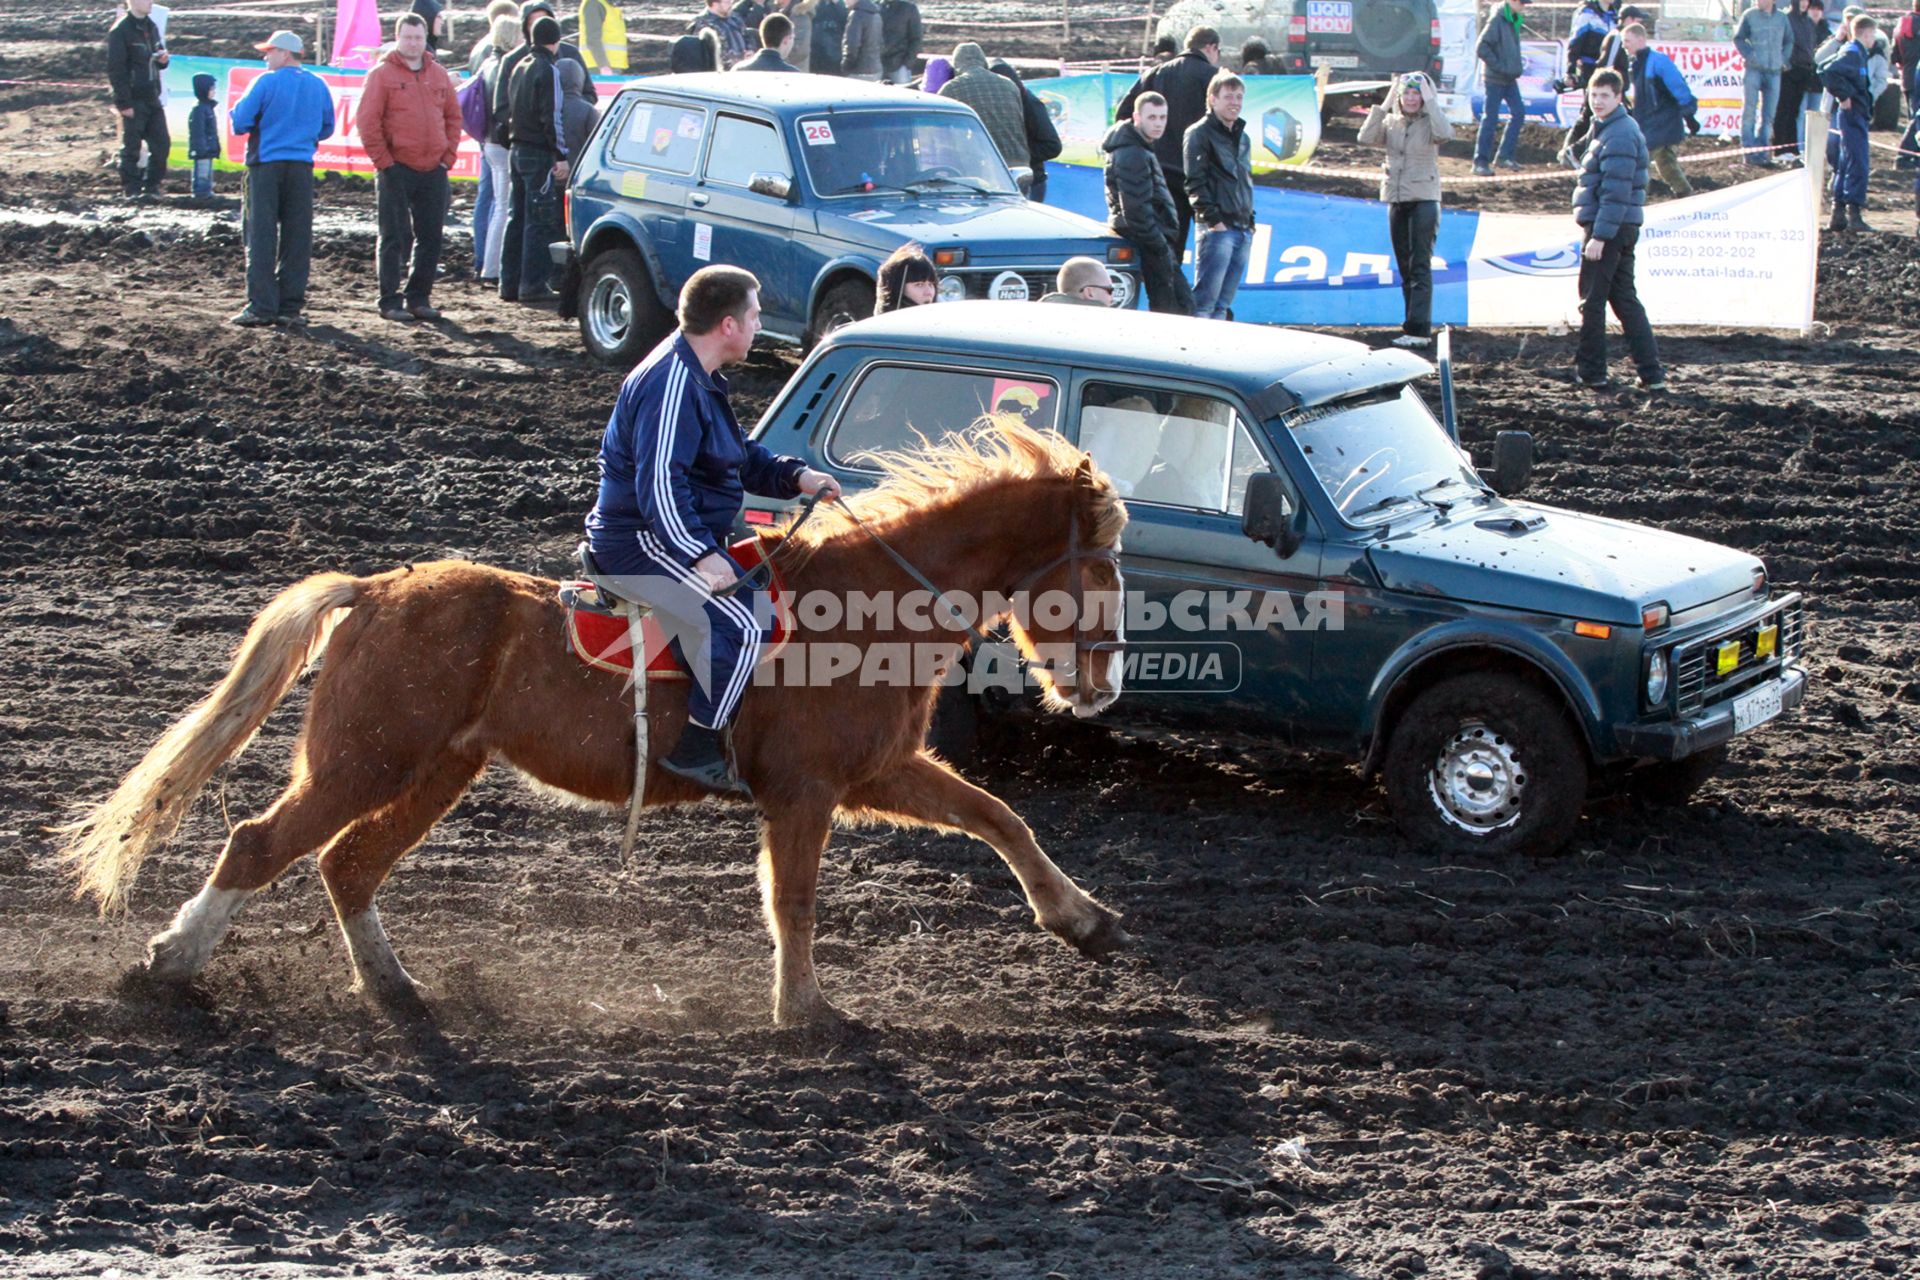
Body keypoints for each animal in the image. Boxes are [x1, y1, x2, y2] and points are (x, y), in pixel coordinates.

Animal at [60, 420, 1128, 1028]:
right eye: (1103, 565)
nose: (1102, 683)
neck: (867, 605)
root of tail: (378, 589)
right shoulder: (806, 793)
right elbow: (794, 901)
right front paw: (805, 1010)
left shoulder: (879, 771)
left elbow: (1001, 819)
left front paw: (1081, 920)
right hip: (362, 764)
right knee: (261, 843)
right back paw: (172, 962)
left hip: (434, 771)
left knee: (346, 865)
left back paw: (396, 991)